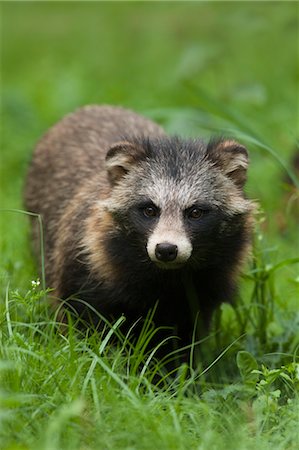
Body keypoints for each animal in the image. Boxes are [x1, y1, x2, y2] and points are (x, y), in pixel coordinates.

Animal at [24, 106, 256, 356]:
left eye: (195, 212)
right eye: (149, 210)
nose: (166, 249)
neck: (167, 276)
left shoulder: (207, 283)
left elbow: (183, 337)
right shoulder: (85, 262)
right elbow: (82, 321)